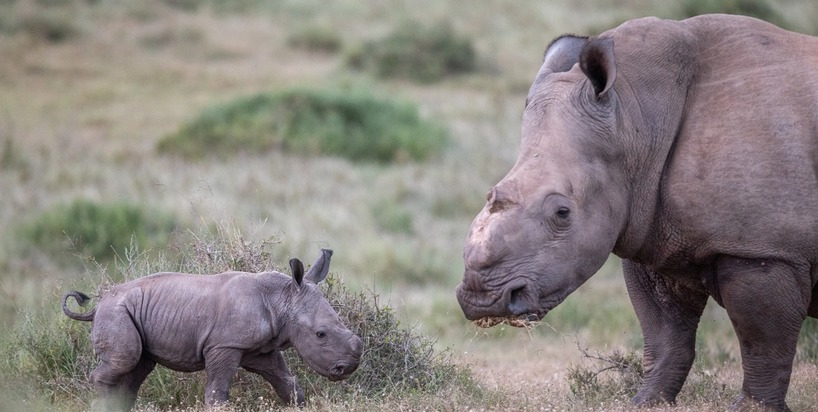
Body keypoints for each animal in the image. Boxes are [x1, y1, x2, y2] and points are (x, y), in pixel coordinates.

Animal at [60, 248, 360, 412]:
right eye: (321, 334)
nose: (346, 369)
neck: (282, 298)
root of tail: (97, 305)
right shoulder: (224, 345)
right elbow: (217, 392)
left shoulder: (260, 348)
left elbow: (286, 383)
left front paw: (298, 404)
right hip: (115, 312)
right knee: (125, 360)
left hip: (129, 314)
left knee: (138, 367)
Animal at [452, 13, 816, 412]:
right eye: (490, 194)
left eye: (562, 213)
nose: (482, 299)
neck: (636, 118)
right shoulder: (657, 235)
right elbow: (664, 336)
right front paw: (645, 402)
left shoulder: (764, 249)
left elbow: (762, 343)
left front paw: (753, 408)